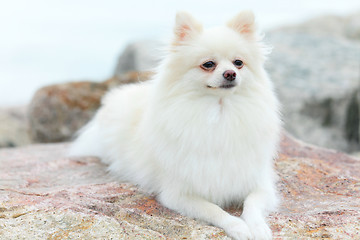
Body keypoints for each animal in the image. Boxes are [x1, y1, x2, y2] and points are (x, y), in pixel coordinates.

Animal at [69, 10, 282, 239]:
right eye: (208, 64)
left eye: (238, 62)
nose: (230, 74)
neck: (219, 112)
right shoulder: (179, 194)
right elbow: (214, 209)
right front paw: (238, 227)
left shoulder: (260, 183)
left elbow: (252, 204)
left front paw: (259, 227)